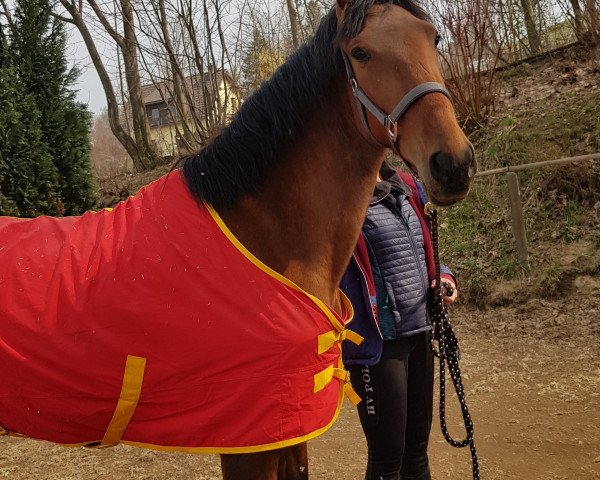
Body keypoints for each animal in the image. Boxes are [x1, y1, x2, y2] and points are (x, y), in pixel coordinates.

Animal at [2, 0, 476, 480]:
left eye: (433, 37)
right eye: (360, 52)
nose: (452, 164)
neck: (263, 234)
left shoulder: (288, 426)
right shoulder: (249, 436)